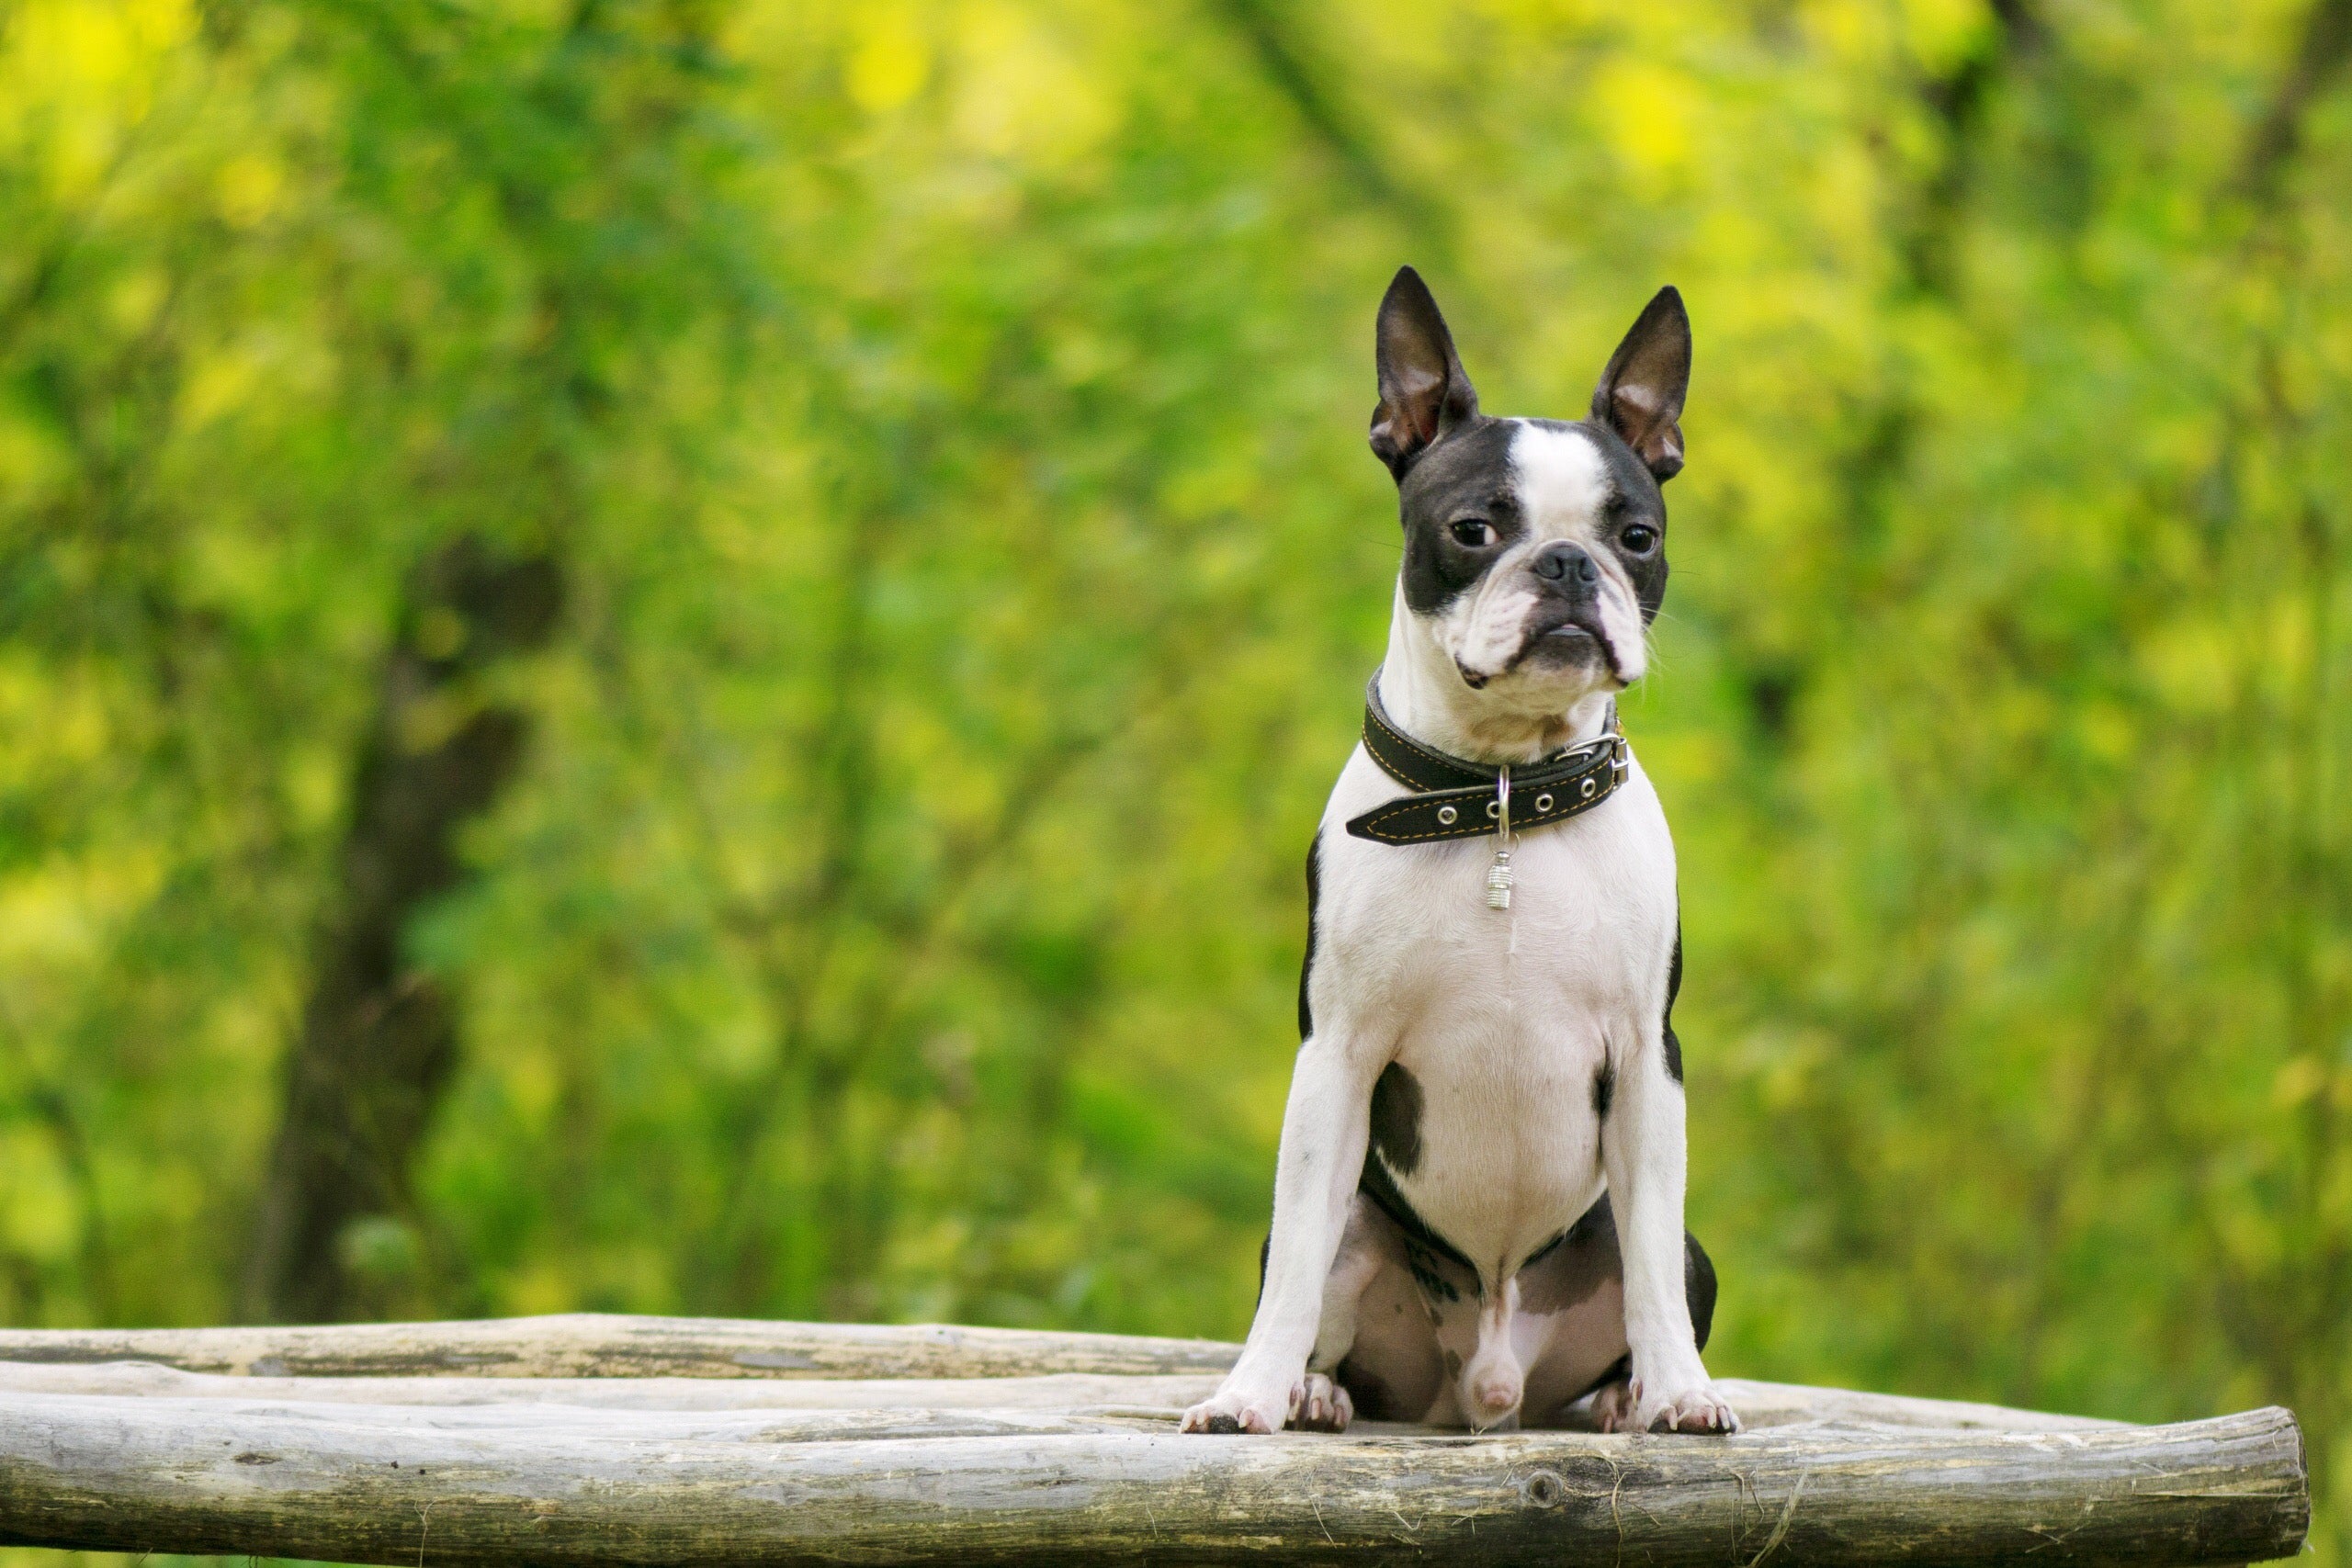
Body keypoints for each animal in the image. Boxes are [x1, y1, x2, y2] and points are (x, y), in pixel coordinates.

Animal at [1185, 266, 1740, 1438]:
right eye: (1475, 528)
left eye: (1637, 538)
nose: (1568, 563)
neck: (1499, 801)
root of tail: (1486, 1384)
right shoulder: (1335, 1058)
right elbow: (1294, 1261)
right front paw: (1248, 1394)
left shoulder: (1647, 1060)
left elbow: (1654, 1272)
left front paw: (1680, 1392)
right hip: (1367, 1234)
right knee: (1321, 1276)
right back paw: (1310, 1390)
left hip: (1667, 1248)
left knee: (1655, 1266)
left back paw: (1622, 1397)